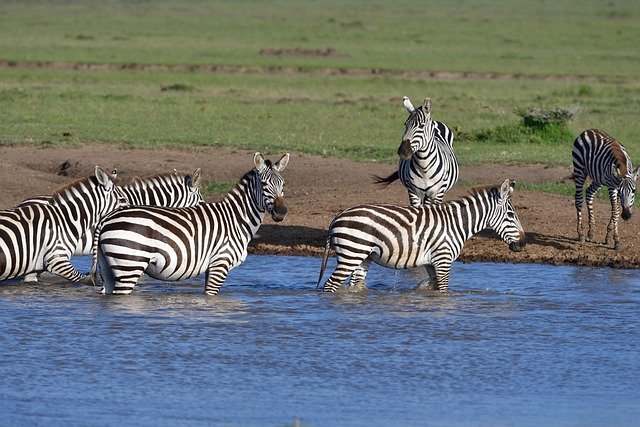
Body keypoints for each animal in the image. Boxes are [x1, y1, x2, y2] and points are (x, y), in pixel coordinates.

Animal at [93, 152, 289, 296]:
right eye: (264, 184)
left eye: (283, 184)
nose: (281, 211)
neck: (237, 219)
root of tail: (105, 219)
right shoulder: (220, 263)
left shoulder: (212, 266)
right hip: (129, 265)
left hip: (108, 268)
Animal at [317, 179, 526, 293]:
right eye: (511, 215)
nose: (523, 243)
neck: (457, 224)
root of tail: (337, 217)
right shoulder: (443, 259)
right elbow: (444, 290)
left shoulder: (431, 262)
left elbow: (432, 287)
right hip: (351, 253)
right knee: (330, 284)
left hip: (362, 256)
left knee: (355, 285)